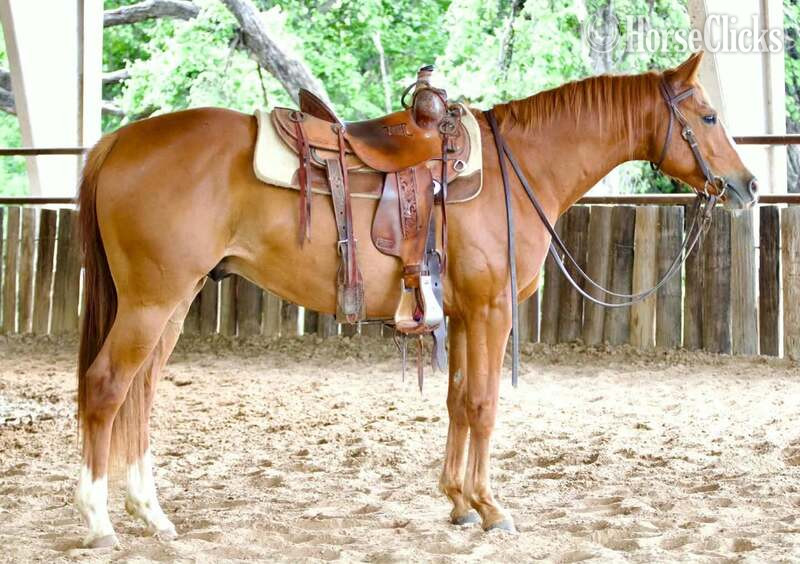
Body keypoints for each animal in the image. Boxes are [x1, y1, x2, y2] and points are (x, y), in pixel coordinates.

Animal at [73, 51, 756, 547]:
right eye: (710, 118)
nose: (747, 186)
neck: (520, 168)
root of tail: (118, 142)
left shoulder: (459, 315)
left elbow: (456, 402)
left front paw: (457, 502)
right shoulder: (491, 310)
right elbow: (483, 404)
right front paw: (490, 507)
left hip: (175, 301)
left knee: (141, 393)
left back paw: (151, 514)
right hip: (151, 302)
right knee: (107, 388)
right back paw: (100, 521)